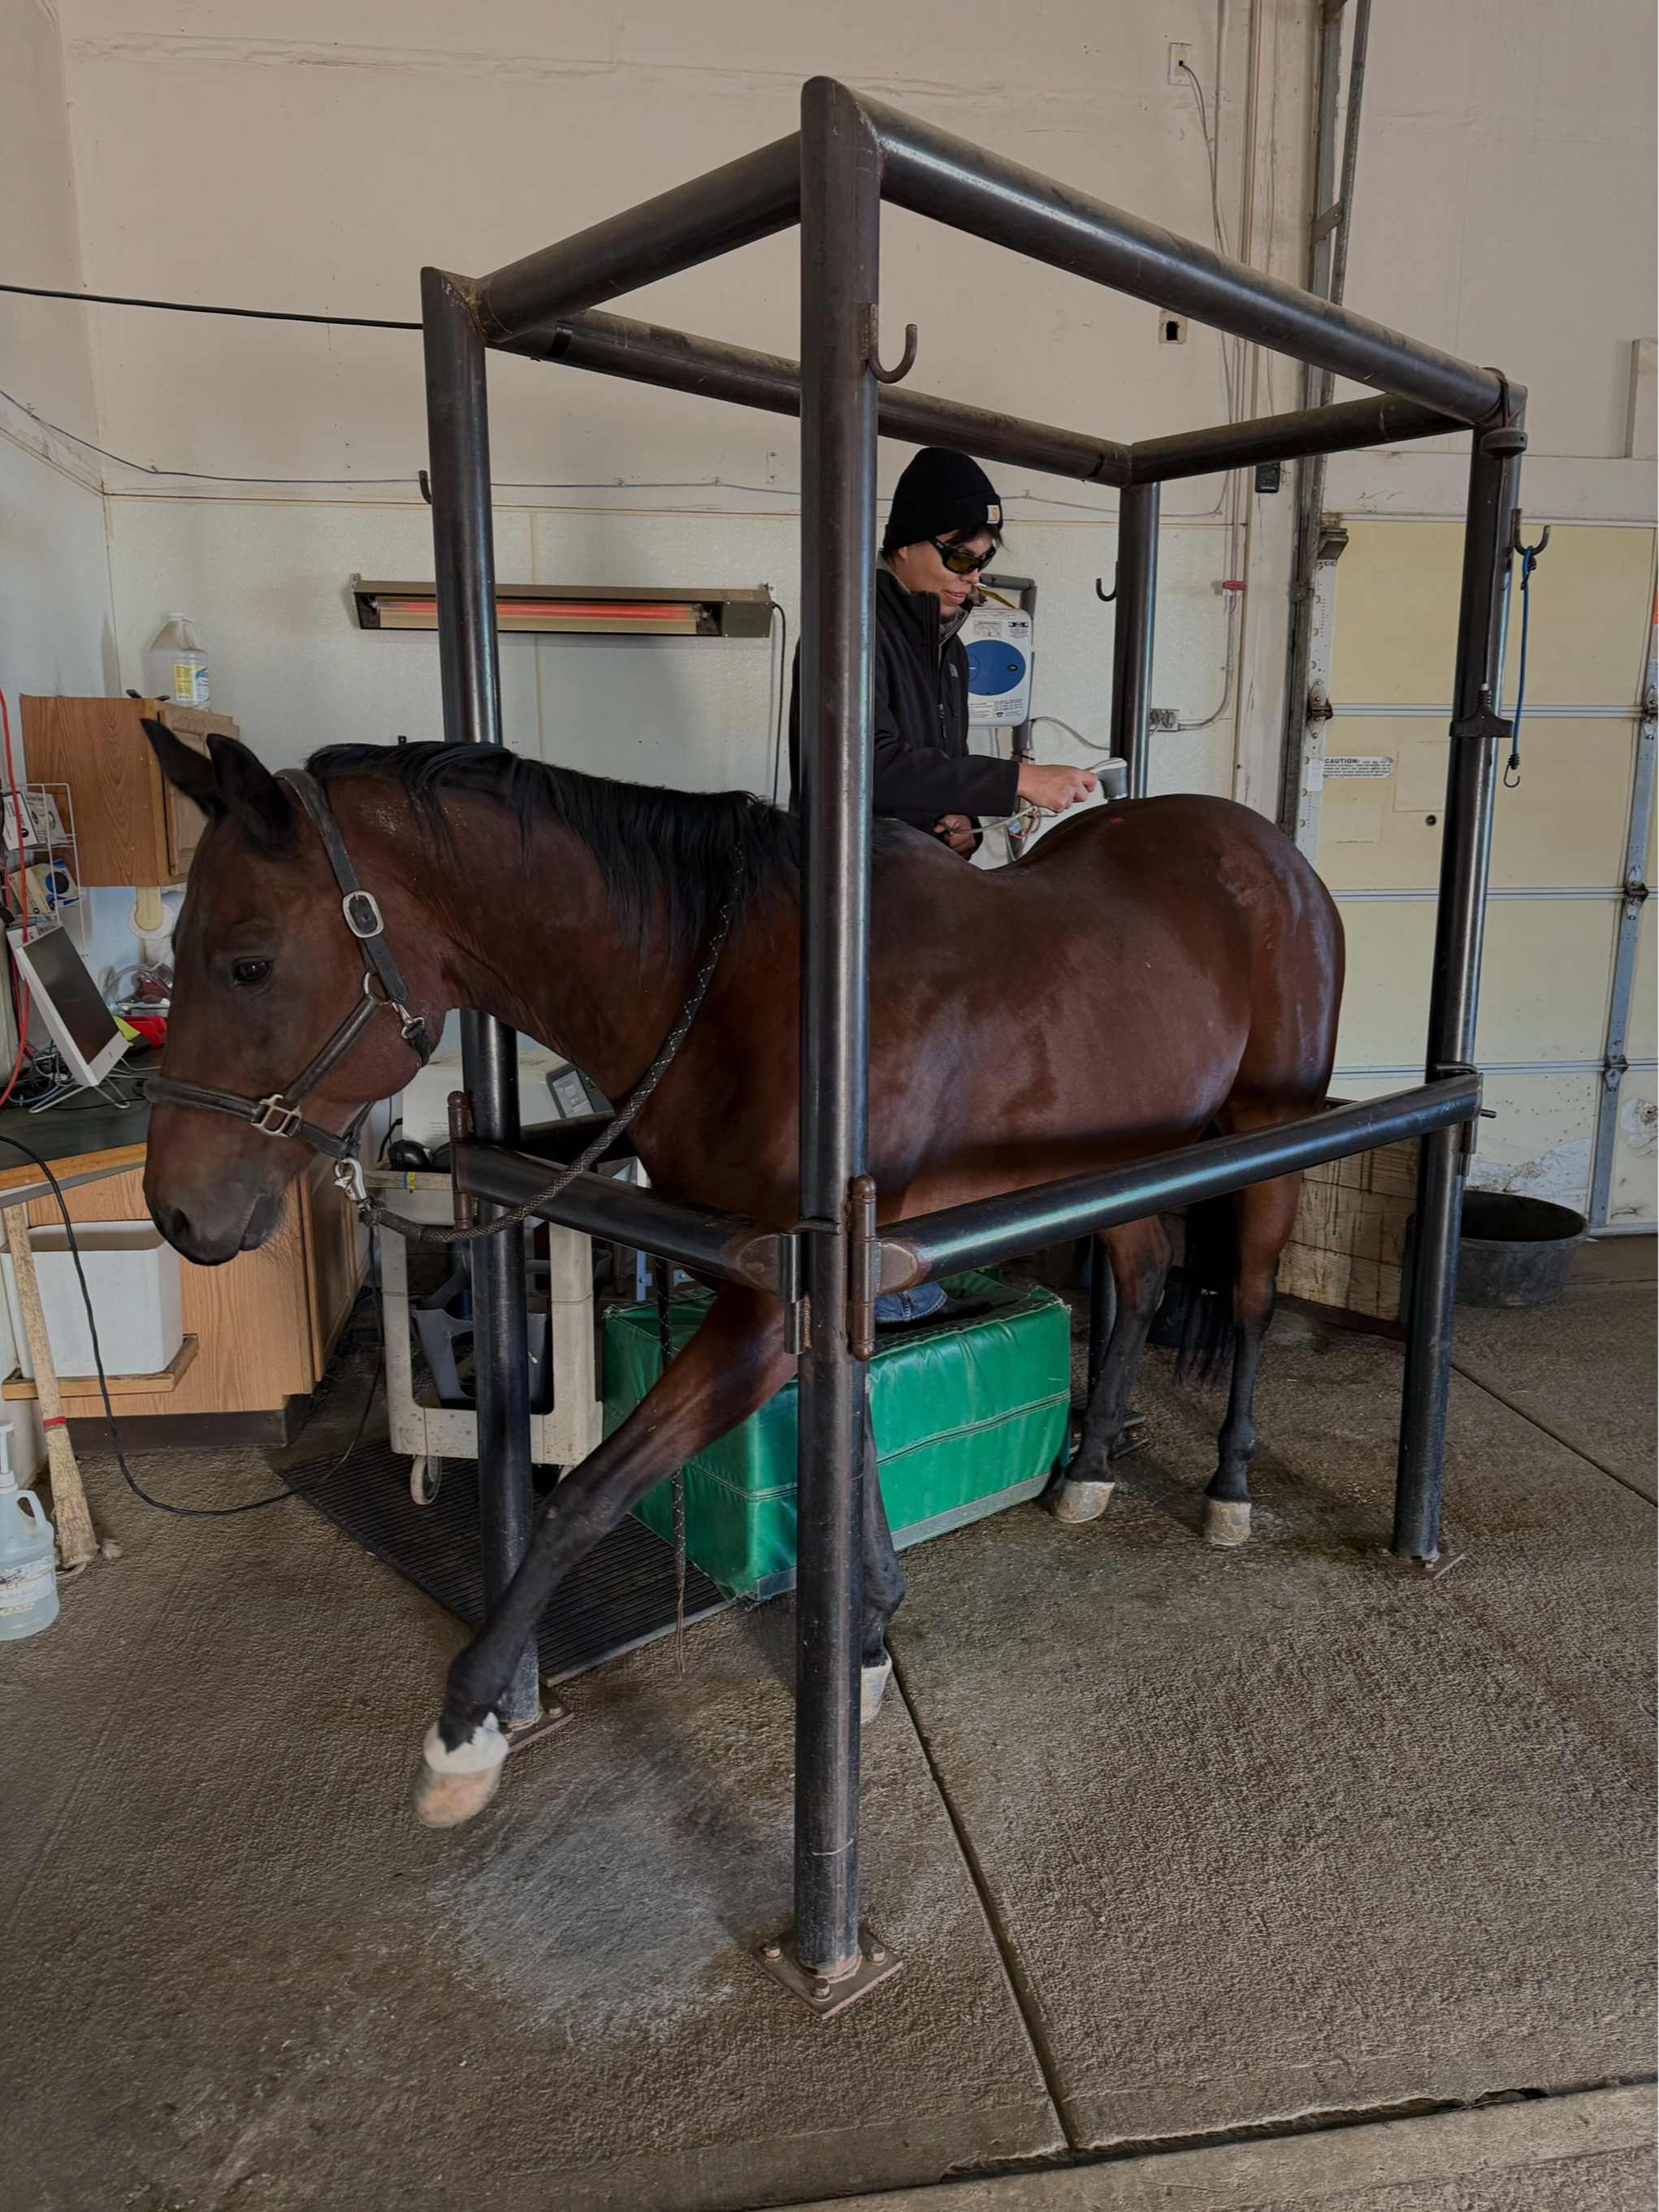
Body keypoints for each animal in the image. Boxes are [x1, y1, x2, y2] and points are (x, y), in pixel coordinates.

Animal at [140, 727, 1342, 1825]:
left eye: (248, 959)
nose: (176, 1211)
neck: (732, 987)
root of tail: (1265, 851)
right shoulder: (818, 1292)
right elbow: (850, 1456)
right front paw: (868, 1640)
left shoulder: (767, 1302)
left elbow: (585, 1494)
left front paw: (464, 1726)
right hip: (1119, 1163)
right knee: (1141, 1280)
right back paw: (1087, 1469)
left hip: (1265, 1135)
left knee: (1246, 1302)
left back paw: (1229, 1486)